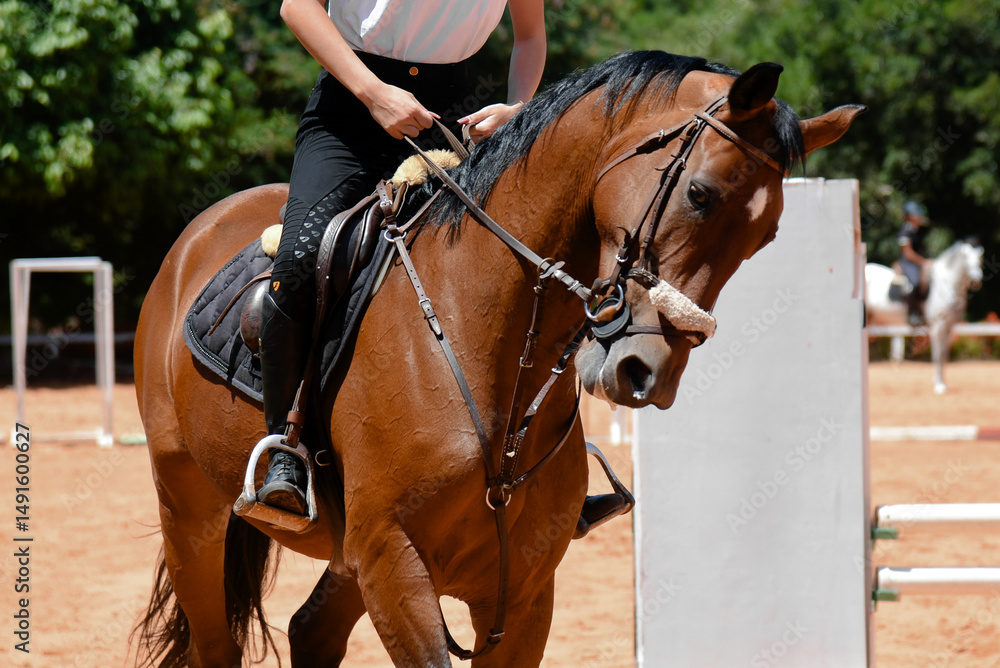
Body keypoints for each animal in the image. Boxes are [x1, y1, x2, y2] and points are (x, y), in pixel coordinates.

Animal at [132, 51, 862, 667]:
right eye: (699, 193)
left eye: (767, 236)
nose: (648, 373)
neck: (482, 341)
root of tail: (195, 236)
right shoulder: (394, 564)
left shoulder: (522, 592)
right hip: (189, 505)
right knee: (217, 641)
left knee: (311, 631)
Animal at [865, 239, 984, 393]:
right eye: (965, 257)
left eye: (980, 257)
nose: (976, 280)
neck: (946, 285)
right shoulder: (938, 326)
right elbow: (937, 355)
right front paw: (939, 385)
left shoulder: (950, 326)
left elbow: (944, 355)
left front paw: (942, 382)